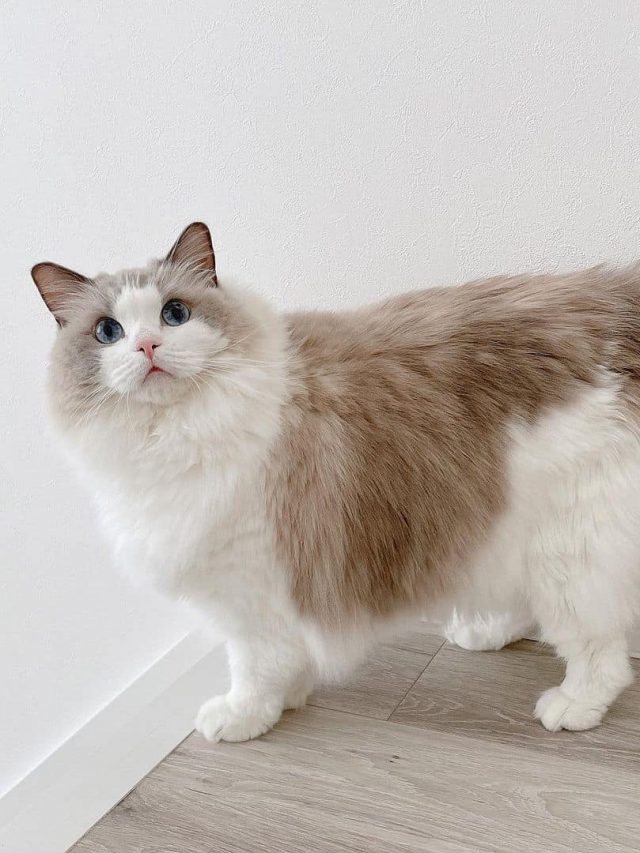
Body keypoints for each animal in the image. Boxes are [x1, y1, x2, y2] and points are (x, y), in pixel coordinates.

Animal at [32, 223, 640, 744]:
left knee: (601, 651)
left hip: (567, 545)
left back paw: (572, 705)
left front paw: (244, 716)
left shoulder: (251, 586)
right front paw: (283, 700)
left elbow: (253, 667)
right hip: (508, 524)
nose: (147, 348)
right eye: (108, 332)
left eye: (174, 313)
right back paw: (483, 632)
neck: (176, 433)